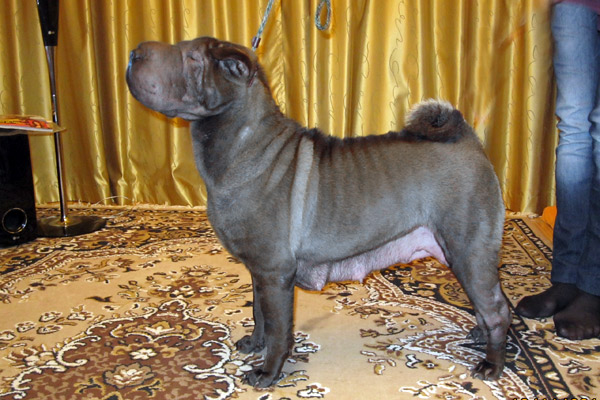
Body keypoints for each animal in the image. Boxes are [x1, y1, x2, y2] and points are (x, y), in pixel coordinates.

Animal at [126, 36, 511, 388]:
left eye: (191, 57)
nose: (134, 52)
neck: (244, 145)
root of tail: (467, 139)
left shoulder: (274, 271)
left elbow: (279, 328)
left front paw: (268, 372)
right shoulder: (259, 271)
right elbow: (259, 312)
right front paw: (254, 344)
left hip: (468, 249)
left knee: (496, 309)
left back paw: (491, 365)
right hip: (460, 254)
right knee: (491, 301)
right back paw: (481, 339)